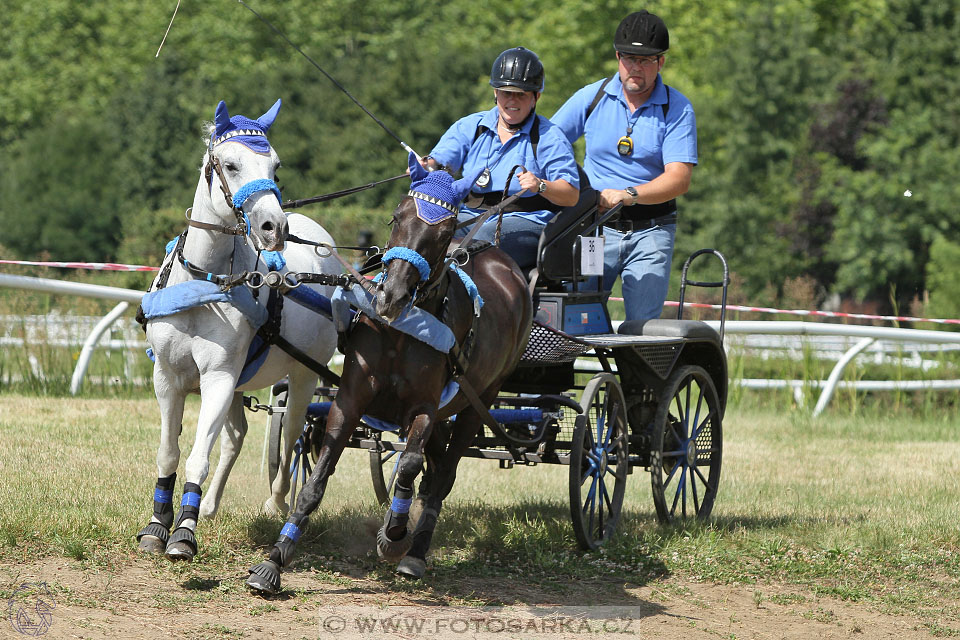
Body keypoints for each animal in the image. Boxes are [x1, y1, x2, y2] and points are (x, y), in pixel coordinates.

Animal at [137, 99, 340, 560]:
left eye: (276, 167)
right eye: (229, 164)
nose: (274, 227)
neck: (205, 281)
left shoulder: (219, 377)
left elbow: (198, 455)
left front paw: (184, 532)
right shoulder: (167, 377)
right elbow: (168, 453)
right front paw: (159, 524)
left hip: (304, 374)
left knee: (292, 436)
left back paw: (277, 500)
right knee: (236, 436)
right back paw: (210, 504)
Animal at [248, 152, 532, 592]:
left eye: (445, 231)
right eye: (396, 217)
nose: (392, 295)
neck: (402, 331)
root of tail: (503, 258)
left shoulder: (424, 408)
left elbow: (409, 466)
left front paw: (394, 536)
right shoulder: (350, 401)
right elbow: (316, 481)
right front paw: (275, 559)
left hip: (478, 400)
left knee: (442, 475)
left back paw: (415, 551)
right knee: (434, 470)